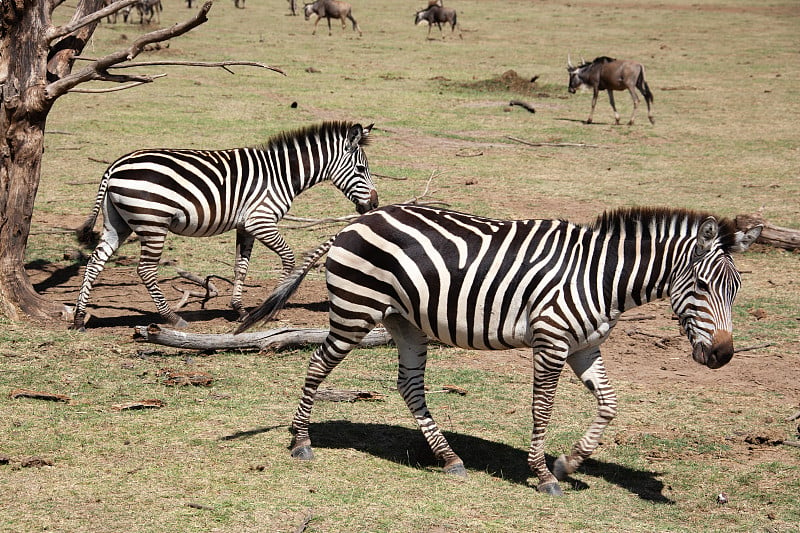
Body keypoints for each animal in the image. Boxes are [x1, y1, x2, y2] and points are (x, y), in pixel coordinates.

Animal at [72, 121, 378, 328]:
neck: (282, 174)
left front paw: (239, 310)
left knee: (95, 262)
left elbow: (240, 267)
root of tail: (115, 166)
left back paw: (79, 318)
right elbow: (289, 259)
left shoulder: (245, 226)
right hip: (153, 223)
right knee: (145, 270)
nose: (374, 204)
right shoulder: (260, 221)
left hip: (118, 223)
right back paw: (173, 317)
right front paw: (274, 306)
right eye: (361, 169)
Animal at [236, 203, 764, 494]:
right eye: (701, 285)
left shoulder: (584, 347)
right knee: (317, 365)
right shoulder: (551, 341)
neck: (602, 278)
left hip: (404, 321)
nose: (722, 356)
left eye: (737, 290)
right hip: (354, 310)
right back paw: (301, 441)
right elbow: (542, 408)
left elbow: (610, 405)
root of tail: (358, 220)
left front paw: (569, 462)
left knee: (410, 385)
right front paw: (543, 473)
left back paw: (449, 458)